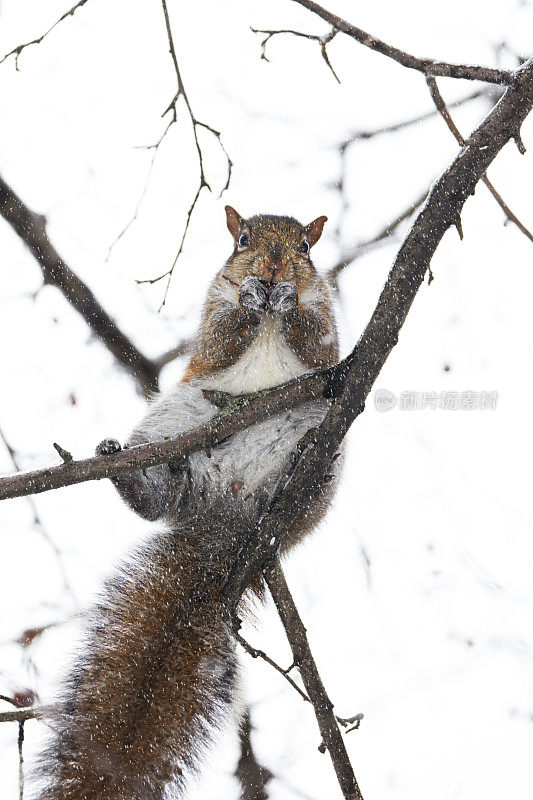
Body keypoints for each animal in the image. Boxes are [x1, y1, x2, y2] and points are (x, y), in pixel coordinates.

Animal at [35, 208, 338, 800]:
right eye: (242, 240)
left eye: (304, 248)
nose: (272, 270)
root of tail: (233, 510)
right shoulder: (212, 320)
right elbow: (222, 336)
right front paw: (251, 295)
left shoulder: (328, 330)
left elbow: (317, 340)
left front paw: (287, 298)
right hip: (175, 416)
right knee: (161, 493)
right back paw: (133, 478)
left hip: (322, 436)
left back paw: (297, 473)